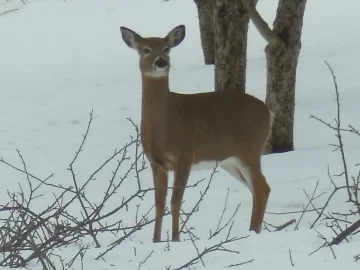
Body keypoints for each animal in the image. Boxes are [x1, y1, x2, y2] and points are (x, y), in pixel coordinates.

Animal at [119, 23, 272, 243]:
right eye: (145, 49)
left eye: (167, 48)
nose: (161, 62)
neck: (163, 124)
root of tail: (269, 112)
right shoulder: (156, 163)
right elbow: (159, 204)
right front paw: (156, 241)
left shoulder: (184, 154)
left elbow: (175, 201)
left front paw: (175, 239)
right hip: (231, 161)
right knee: (259, 189)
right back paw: (253, 230)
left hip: (249, 150)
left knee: (261, 188)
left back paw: (252, 232)